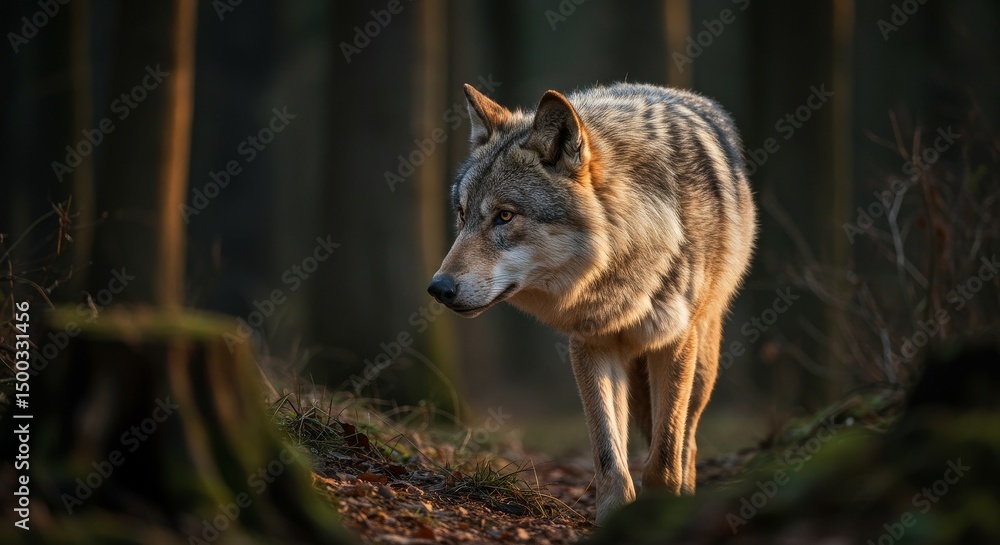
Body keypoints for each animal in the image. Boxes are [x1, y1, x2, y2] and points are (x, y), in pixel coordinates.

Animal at [428, 82, 757, 524]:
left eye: (505, 216)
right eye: (462, 215)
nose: (438, 288)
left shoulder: (673, 343)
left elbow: (664, 456)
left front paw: (658, 511)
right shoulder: (590, 344)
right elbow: (608, 456)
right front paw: (613, 516)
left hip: (702, 360)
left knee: (688, 440)